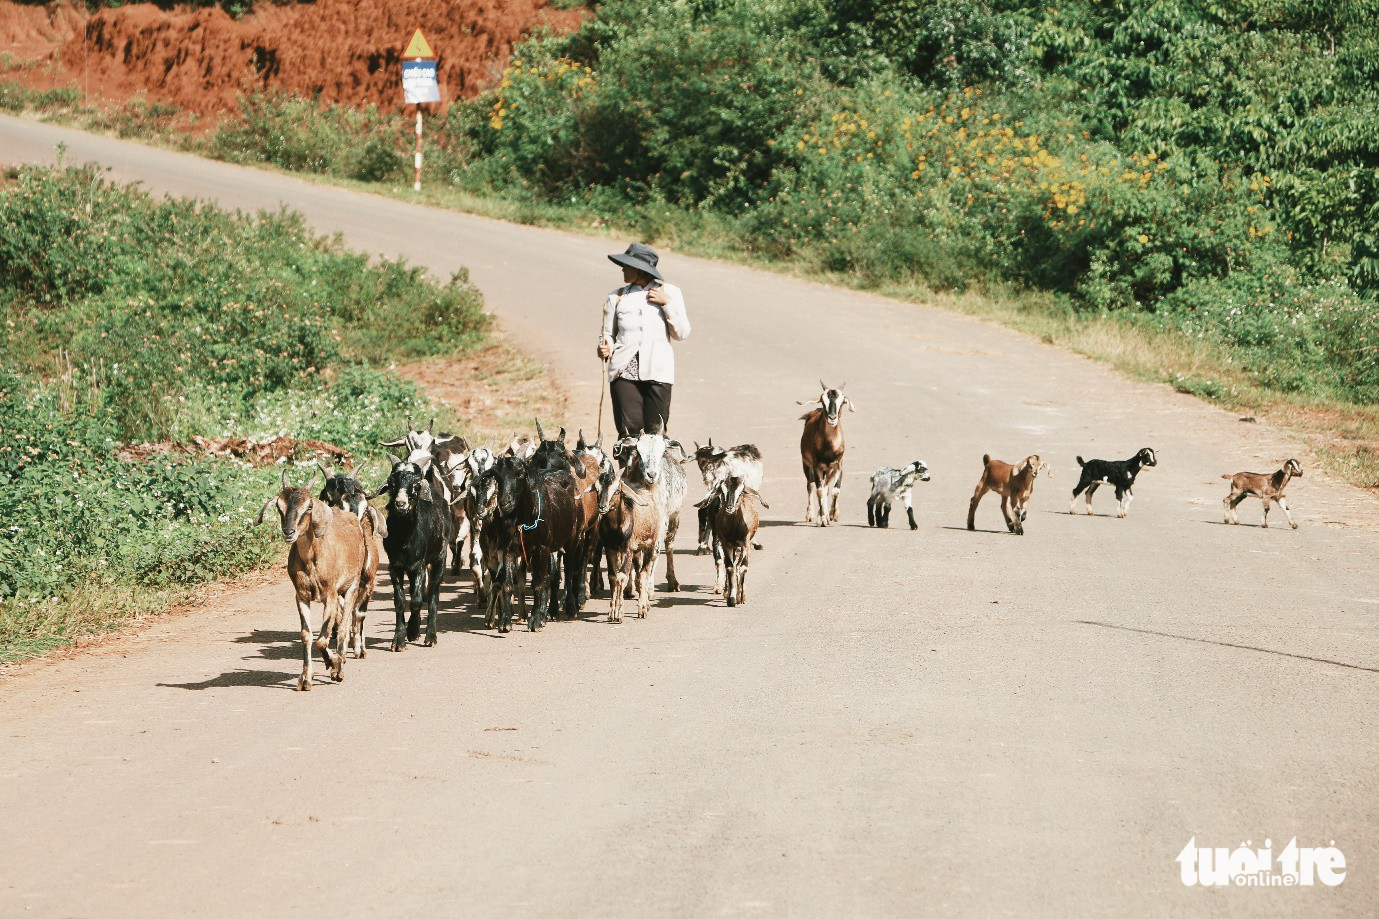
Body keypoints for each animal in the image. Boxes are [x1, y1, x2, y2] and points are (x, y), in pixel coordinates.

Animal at [256, 471, 369, 687]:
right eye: (279, 506)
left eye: (308, 506)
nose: (288, 532)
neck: (312, 560)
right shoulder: (301, 595)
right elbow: (306, 635)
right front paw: (306, 678)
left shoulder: (330, 594)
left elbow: (323, 639)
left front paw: (333, 663)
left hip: (351, 586)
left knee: (344, 627)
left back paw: (340, 665)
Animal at [375, 455, 449, 648]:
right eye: (392, 483)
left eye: (416, 484)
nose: (400, 504)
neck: (405, 537)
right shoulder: (395, 566)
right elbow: (400, 601)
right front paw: (399, 640)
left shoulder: (419, 565)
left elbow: (416, 601)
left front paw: (413, 631)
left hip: (439, 559)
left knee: (433, 596)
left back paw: (430, 636)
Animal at [799, 378, 849, 521]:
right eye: (823, 400)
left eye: (842, 401)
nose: (832, 418)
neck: (829, 448)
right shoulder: (817, 467)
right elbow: (819, 490)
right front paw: (822, 519)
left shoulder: (838, 465)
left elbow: (835, 491)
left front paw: (832, 515)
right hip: (807, 466)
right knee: (810, 486)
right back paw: (810, 515)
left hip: (829, 471)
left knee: (826, 487)